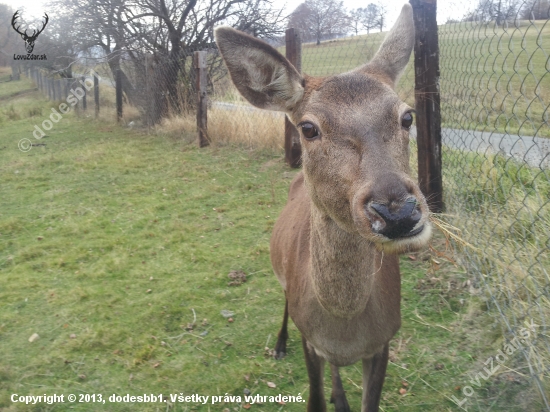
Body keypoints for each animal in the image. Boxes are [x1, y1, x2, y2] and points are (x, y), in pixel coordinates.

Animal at [216, 4, 436, 410]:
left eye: (407, 116)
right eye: (308, 128)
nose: (398, 212)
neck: (343, 326)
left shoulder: (383, 342)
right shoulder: (310, 339)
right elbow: (314, 398)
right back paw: (280, 345)